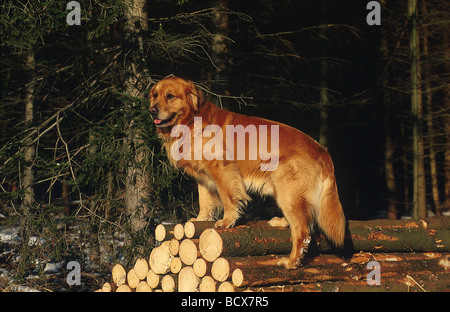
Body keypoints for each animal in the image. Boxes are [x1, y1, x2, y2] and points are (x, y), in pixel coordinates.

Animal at [148, 77, 344, 270]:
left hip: (288, 191)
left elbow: (228, 198)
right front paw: (199, 220)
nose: (151, 111)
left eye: (170, 96)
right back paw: (282, 222)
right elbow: (205, 201)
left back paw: (291, 262)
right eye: (155, 95)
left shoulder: (222, 168)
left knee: (302, 231)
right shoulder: (203, 176)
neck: (191, 121)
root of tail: (321, 150)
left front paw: (227, 221)